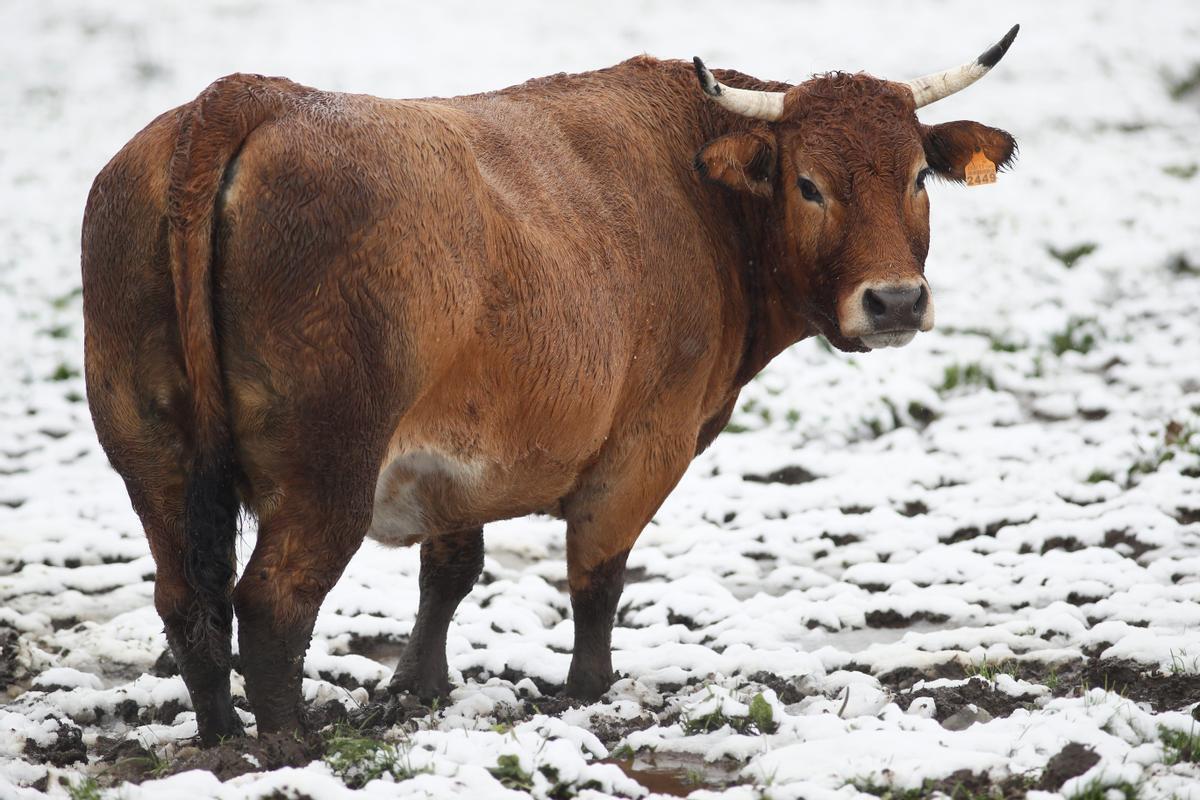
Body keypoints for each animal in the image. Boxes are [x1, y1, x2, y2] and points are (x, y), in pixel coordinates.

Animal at [82, 29, 1022, 743]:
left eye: (918, 176)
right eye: (807, 183)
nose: (894, 301)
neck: (700, 197)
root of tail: (242, 98)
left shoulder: (453, 454)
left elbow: (449, 571)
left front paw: (418, 685)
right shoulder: (645, 443)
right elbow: (597, 574)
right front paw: (587, 688)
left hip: (153, 457)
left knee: (188, 602)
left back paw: (220, 737)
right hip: (326, 469)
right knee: (272, 605)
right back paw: (286, 745)